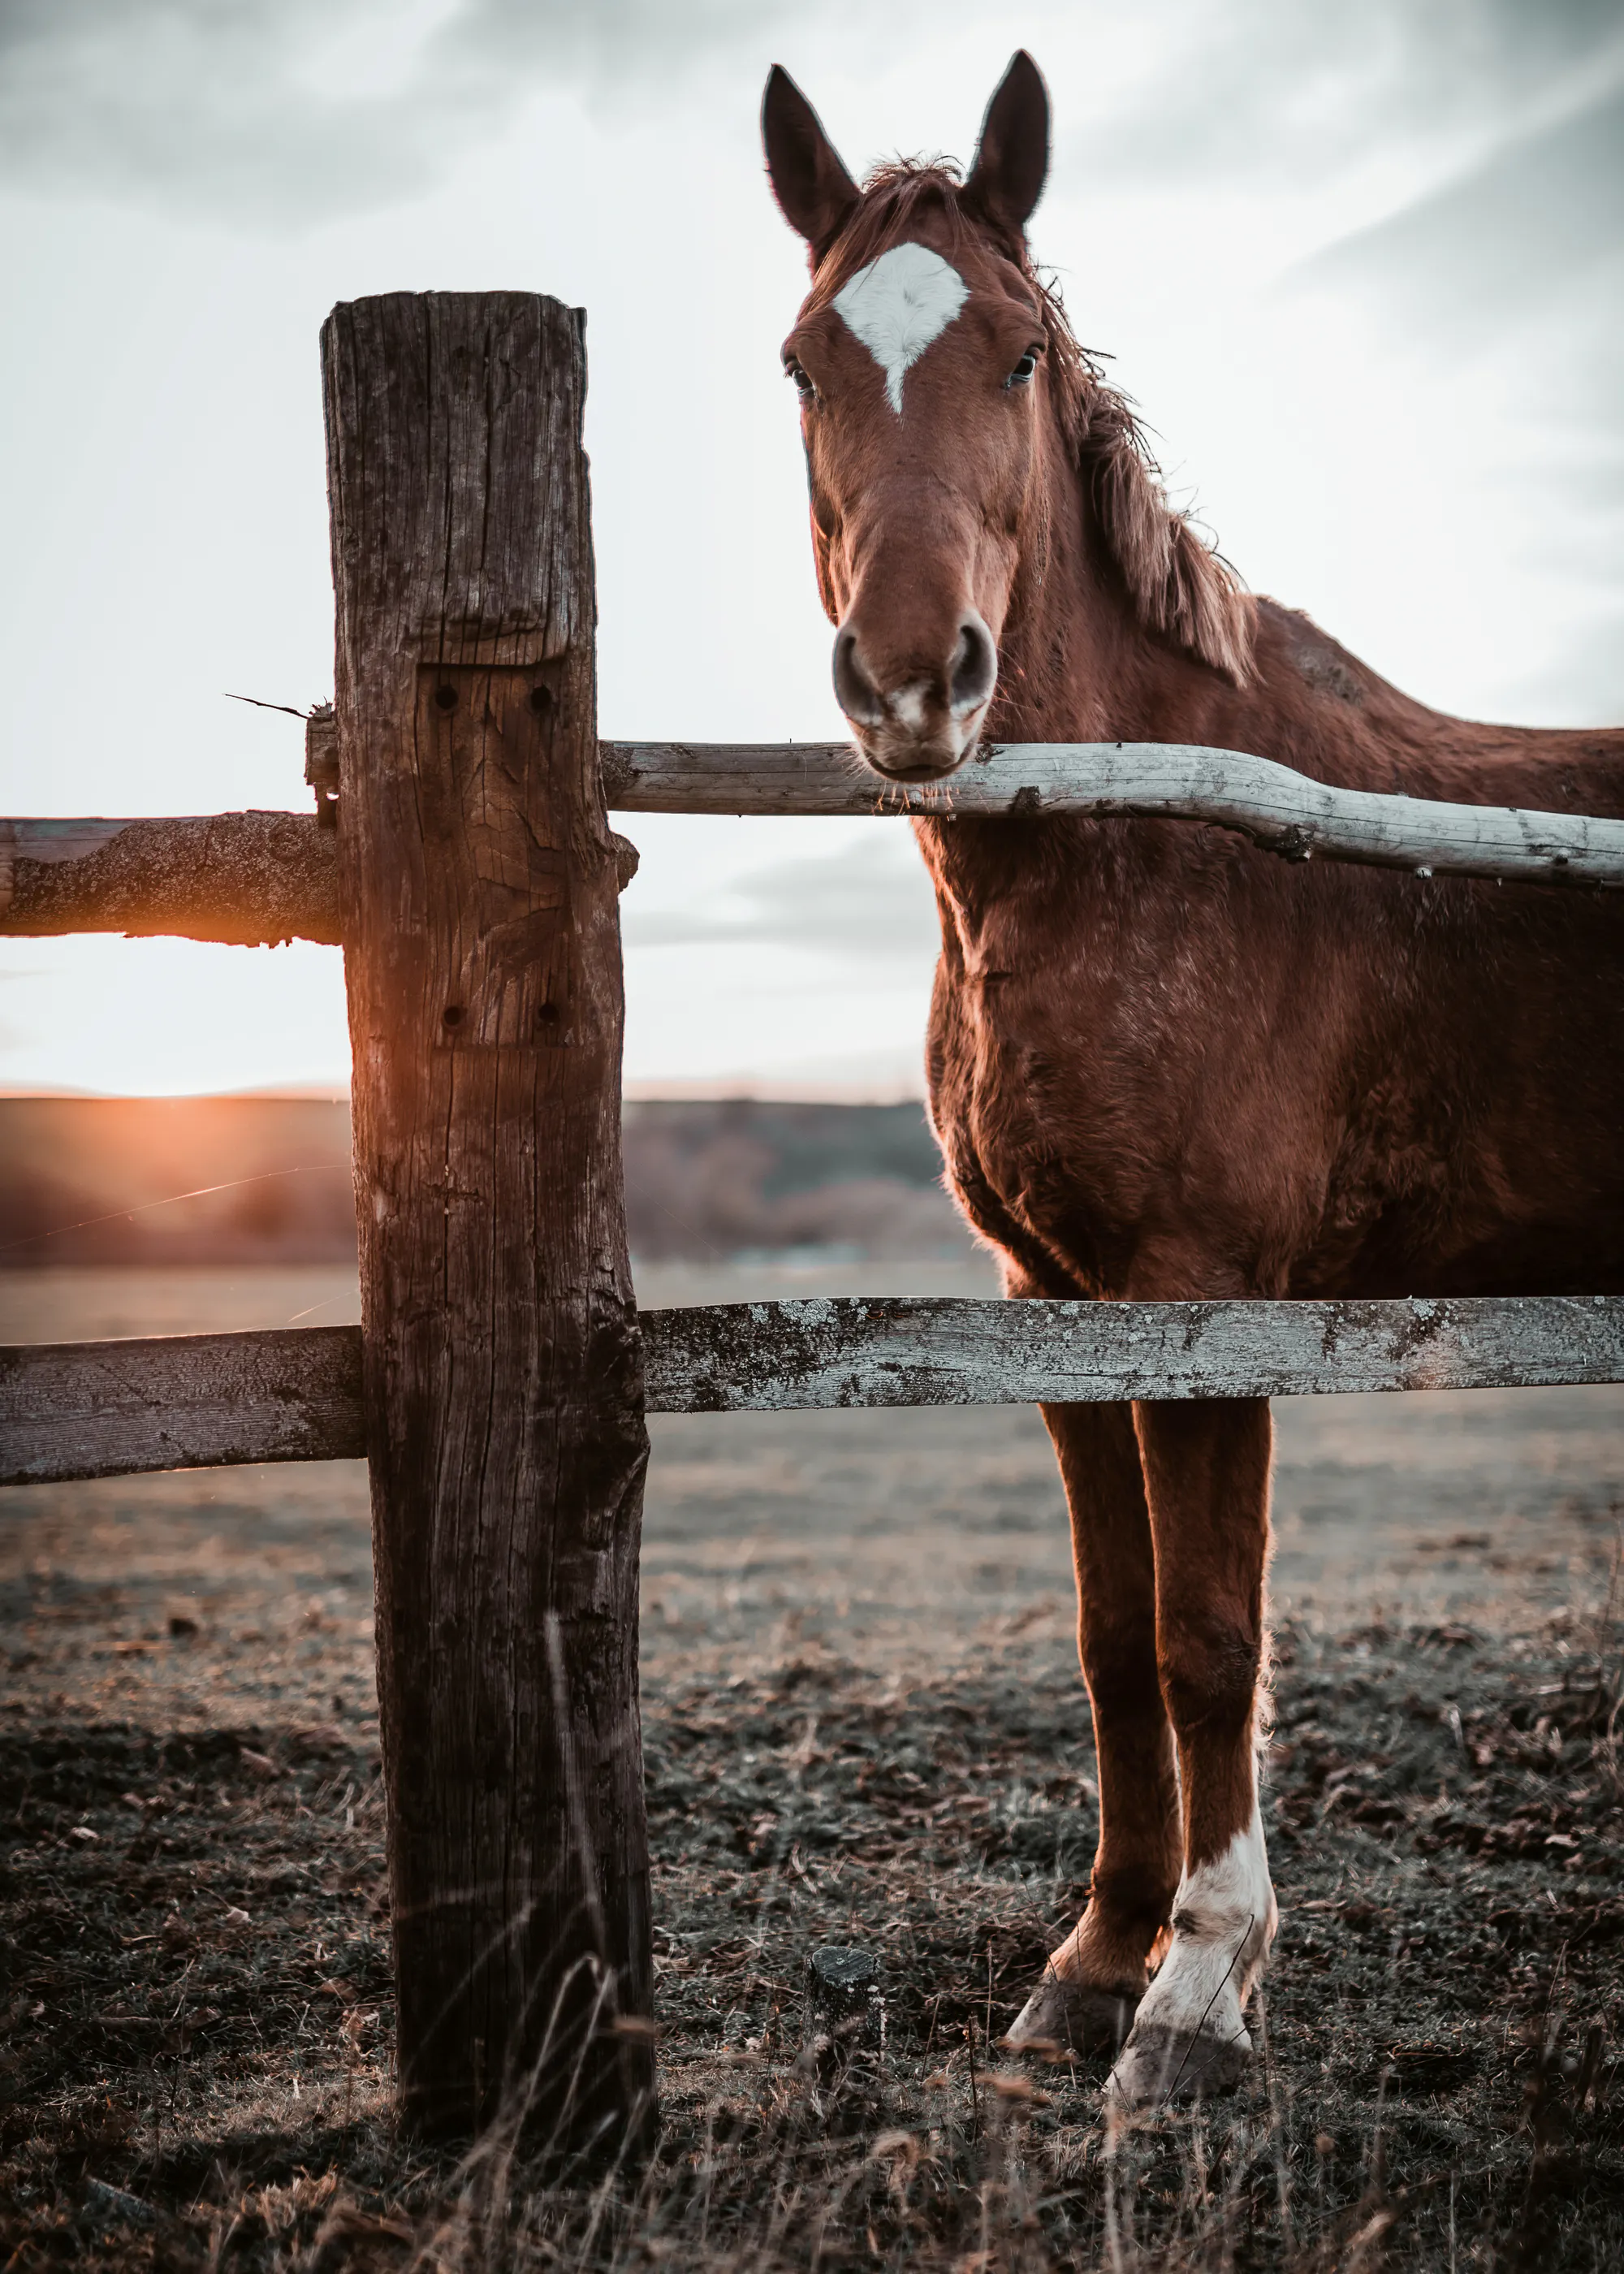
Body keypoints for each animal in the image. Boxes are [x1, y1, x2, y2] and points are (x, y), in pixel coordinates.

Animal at [760, 51, 1624, 2106]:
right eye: (801, 362)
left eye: (1012, 352)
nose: (909, 677)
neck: (1139, 835)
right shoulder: (1050, 1299)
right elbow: (1108, 1634)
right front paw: (1090, 1961)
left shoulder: (1198, 1293)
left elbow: (1209, 1632)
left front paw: (1195, 1995)